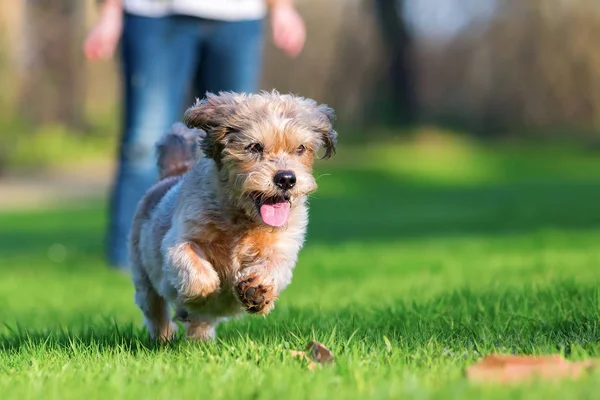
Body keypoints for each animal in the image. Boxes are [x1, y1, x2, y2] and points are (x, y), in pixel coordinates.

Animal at [129, 90, 338, 340]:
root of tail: (170, 177)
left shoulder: (283, 245)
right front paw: (204, 288)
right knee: (156, 313)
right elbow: (192, 262)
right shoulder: (178, 239)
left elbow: (275, 264)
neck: (244, 220)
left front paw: (257, 289)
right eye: (254, 147)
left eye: (300, 148)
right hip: (144, 281)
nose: (287, 178)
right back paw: (167, 334)